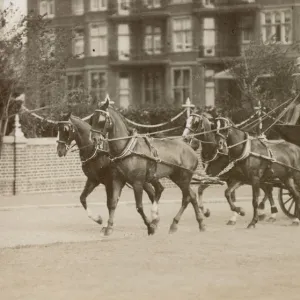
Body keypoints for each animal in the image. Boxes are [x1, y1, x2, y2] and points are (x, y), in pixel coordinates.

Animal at [90, 98, 210, 234]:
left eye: (102, 120)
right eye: (92, 119)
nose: (93, 139)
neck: (128, 148)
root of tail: (189, 147)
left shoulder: (137, 182)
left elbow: (139, 207)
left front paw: (150, 226)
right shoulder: (117, 180)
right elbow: (113, 203)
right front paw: (109, 227)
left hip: (184, 177)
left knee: (187, 197)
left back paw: (180, 223)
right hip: (177, 177)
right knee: (192, 196)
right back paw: (197, 223)